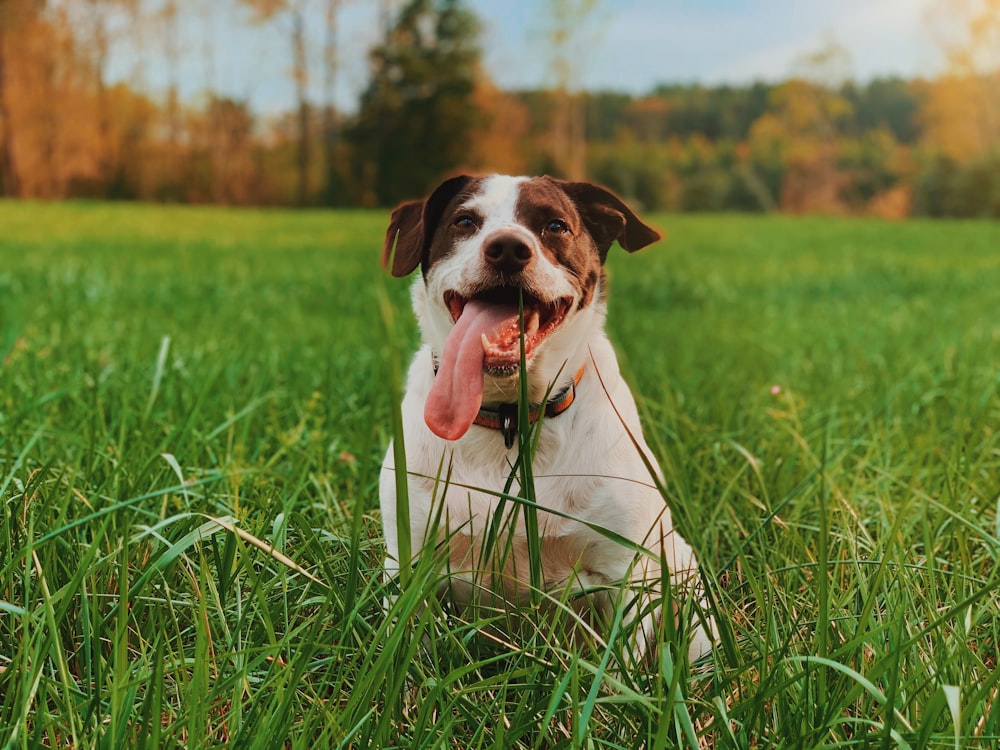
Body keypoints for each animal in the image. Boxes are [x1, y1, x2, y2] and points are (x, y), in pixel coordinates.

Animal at [376, 175, 712, 664]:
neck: (510, 419)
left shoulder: (626, 573)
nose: (508, 248)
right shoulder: (410, 563)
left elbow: (624, 666)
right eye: (464, 221)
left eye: (555, 225)